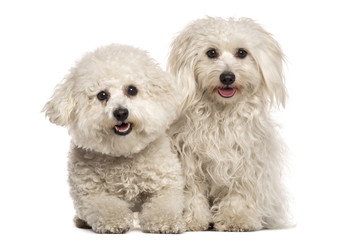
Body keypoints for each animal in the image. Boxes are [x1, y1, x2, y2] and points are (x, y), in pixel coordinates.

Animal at [45, 44, 188, 233]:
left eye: (132, 90)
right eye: (102, 95)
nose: (121, 112)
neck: (123, 154)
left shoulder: (166, 186)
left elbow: (164, 204)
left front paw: (165, 222)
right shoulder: (90, 193)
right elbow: (106, 206)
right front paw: (114, 221)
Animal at [169, 16, 290, 231]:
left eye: (242, 52)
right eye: (211, 52)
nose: (227, 77)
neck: (221, 115)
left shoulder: (246, 163)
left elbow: (239, 194)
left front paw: (236, 218)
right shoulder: (189, 161)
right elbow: (192, 192)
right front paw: (193, 219)